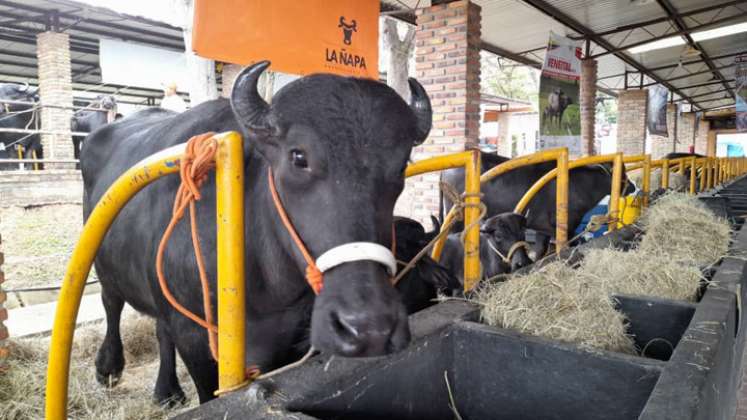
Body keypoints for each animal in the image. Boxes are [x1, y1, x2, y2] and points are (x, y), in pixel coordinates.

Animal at [82, 61, 432, 404]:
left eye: (402, 165)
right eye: (298, 156)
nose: (369, 328)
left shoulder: (288, 338)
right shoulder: (192, 336)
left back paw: (166, 391)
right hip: (104, 261)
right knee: (111, 303)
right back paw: (109, 367)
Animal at [442, 154, 636, 258]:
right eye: (621, 171)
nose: (633, 187)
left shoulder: (544, 229)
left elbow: (541, 250)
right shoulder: (560, 225)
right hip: (456, 219)